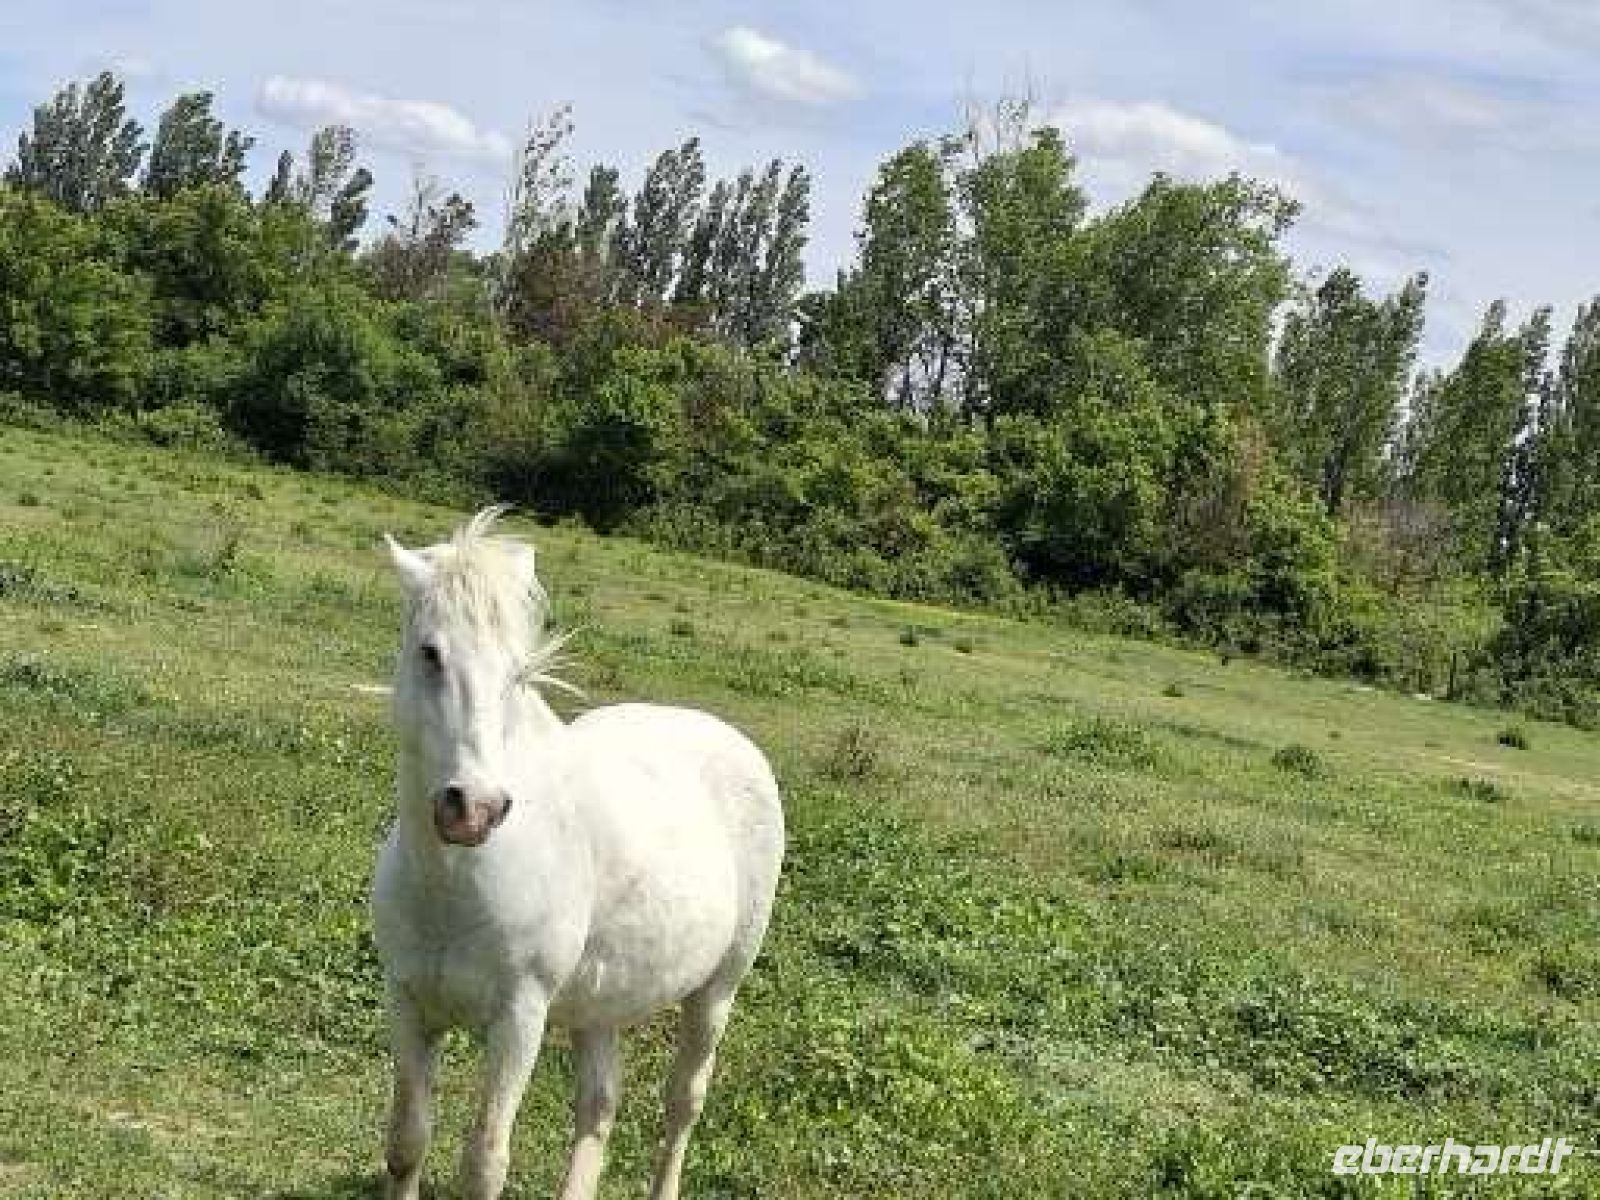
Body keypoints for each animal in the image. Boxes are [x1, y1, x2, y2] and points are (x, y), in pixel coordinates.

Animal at [370, 508, 785, 1200]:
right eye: (430, 653)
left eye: (518, 671)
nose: (474, 807)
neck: (456, 884)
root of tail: (730, 739)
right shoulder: (408, 1002)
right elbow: (407, 1143)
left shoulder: (519, 1019)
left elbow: (484, 1163)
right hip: (599, 1007)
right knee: (599, 1107)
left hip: (717, 991)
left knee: (683, 1103)